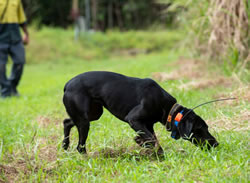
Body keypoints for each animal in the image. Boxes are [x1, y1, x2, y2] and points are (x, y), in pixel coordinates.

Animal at [63, 71, 219, 154]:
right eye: (200, 128)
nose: (216, 143)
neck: (169, 109)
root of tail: (67, 84)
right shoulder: (134, 119)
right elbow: (152, 140)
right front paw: (153, 151)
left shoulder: (148, 125)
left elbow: (152, 139)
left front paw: (149, 148)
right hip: (85, 121)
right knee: (80, 146)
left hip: (94, 113)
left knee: (67, 122)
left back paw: (65, 145)